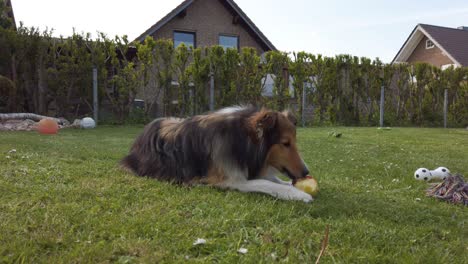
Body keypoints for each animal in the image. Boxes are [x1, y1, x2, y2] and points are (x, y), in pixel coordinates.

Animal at [120, 105, 312, 202]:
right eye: (285, 143)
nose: (306, 172)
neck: (241, 139)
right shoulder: (228, 180)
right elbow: (265, 183)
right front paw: (299, 194)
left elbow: (274, 179)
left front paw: (291, 186)